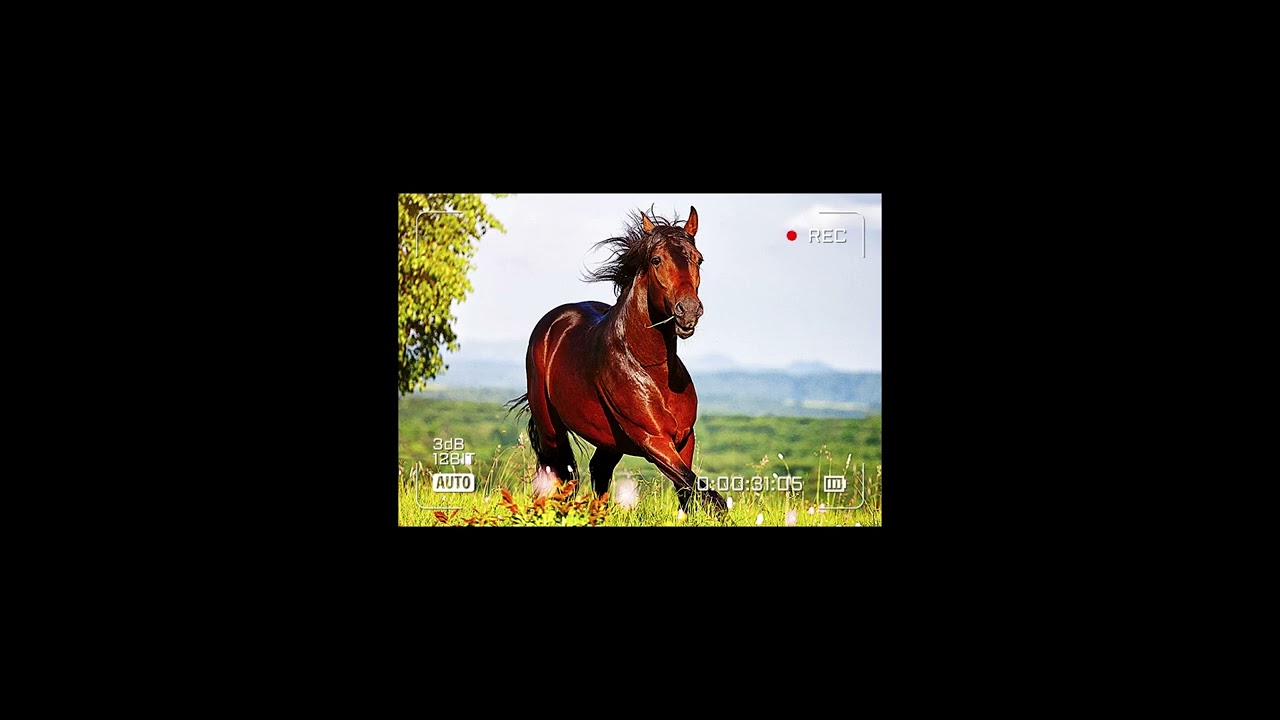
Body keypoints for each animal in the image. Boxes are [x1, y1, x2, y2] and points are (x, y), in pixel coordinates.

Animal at [508, 206, 728, 517]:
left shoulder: (684, 439)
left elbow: (688, 490)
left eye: (698, 259)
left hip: (609, 441)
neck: (652, 368)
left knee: (597, 471)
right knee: (558, 474)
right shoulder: (653, 440)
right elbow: (704, 492)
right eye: (656, 259)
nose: (688, 311)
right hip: (551, 429)